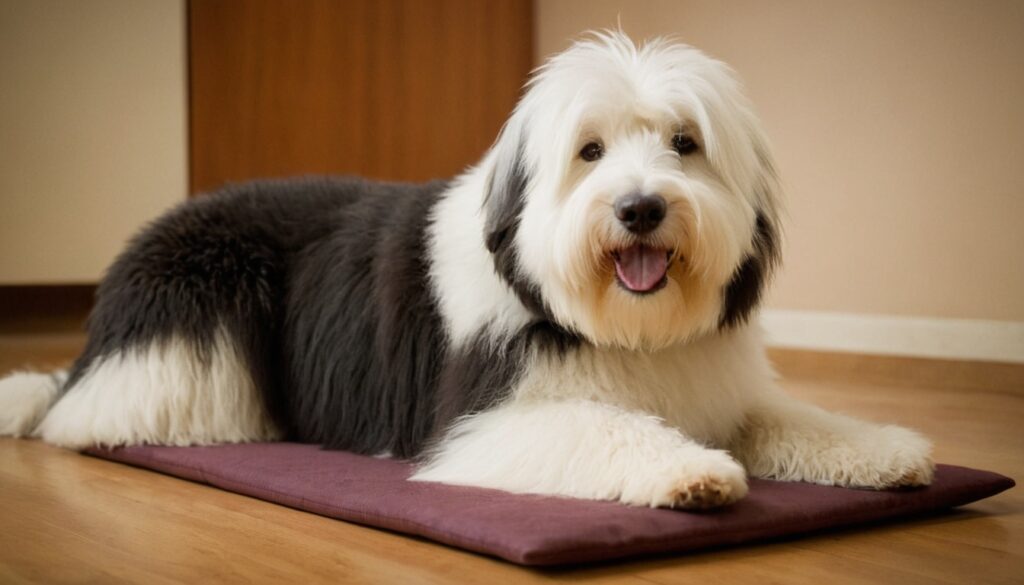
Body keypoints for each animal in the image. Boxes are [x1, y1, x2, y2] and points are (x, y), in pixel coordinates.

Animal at [0, 33, 937, 508]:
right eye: (590, 151)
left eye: (684, 142)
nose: (640, 208)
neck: (622, 327)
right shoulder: (489, 414)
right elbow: (606, 427)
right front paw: (690, 471)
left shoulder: (712, 383)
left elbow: (794, 418)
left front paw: (888, 449)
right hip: (190, 349)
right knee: (105, 413)